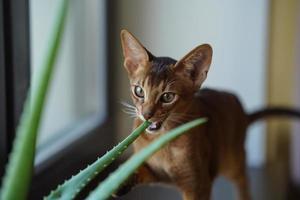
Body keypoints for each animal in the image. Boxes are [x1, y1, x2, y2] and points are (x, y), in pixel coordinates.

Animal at [116, 29, 300, 200]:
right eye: (139, 91)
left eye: (167, 97)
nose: (146, 115)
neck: (161, 140)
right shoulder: (154, 172)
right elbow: (135, 169)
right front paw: (121, 182)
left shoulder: (197, 184)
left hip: (231, 162)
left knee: (244, 182)